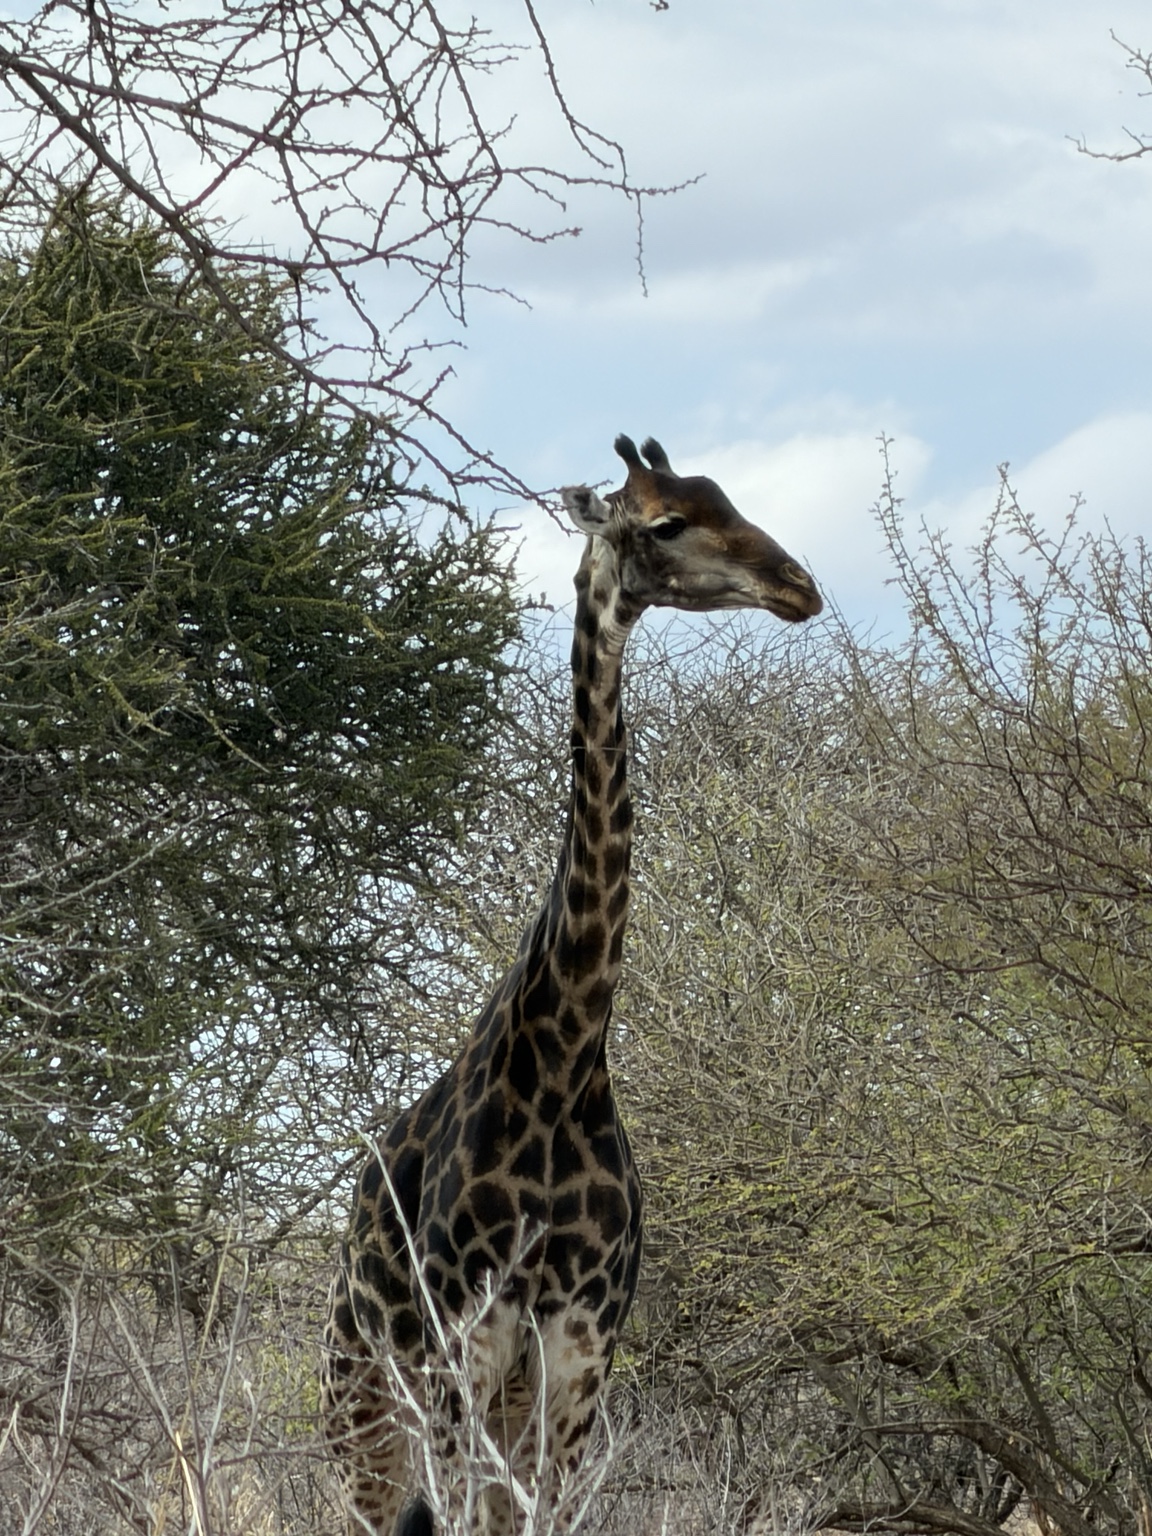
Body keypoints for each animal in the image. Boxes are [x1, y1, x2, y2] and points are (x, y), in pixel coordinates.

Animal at [320, 434, 823, 1536]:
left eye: (726, 497)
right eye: (666, 524)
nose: (796, 584)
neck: (562, 1059)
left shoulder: (579, 1353)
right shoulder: (466, 1348)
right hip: (362, 1397)